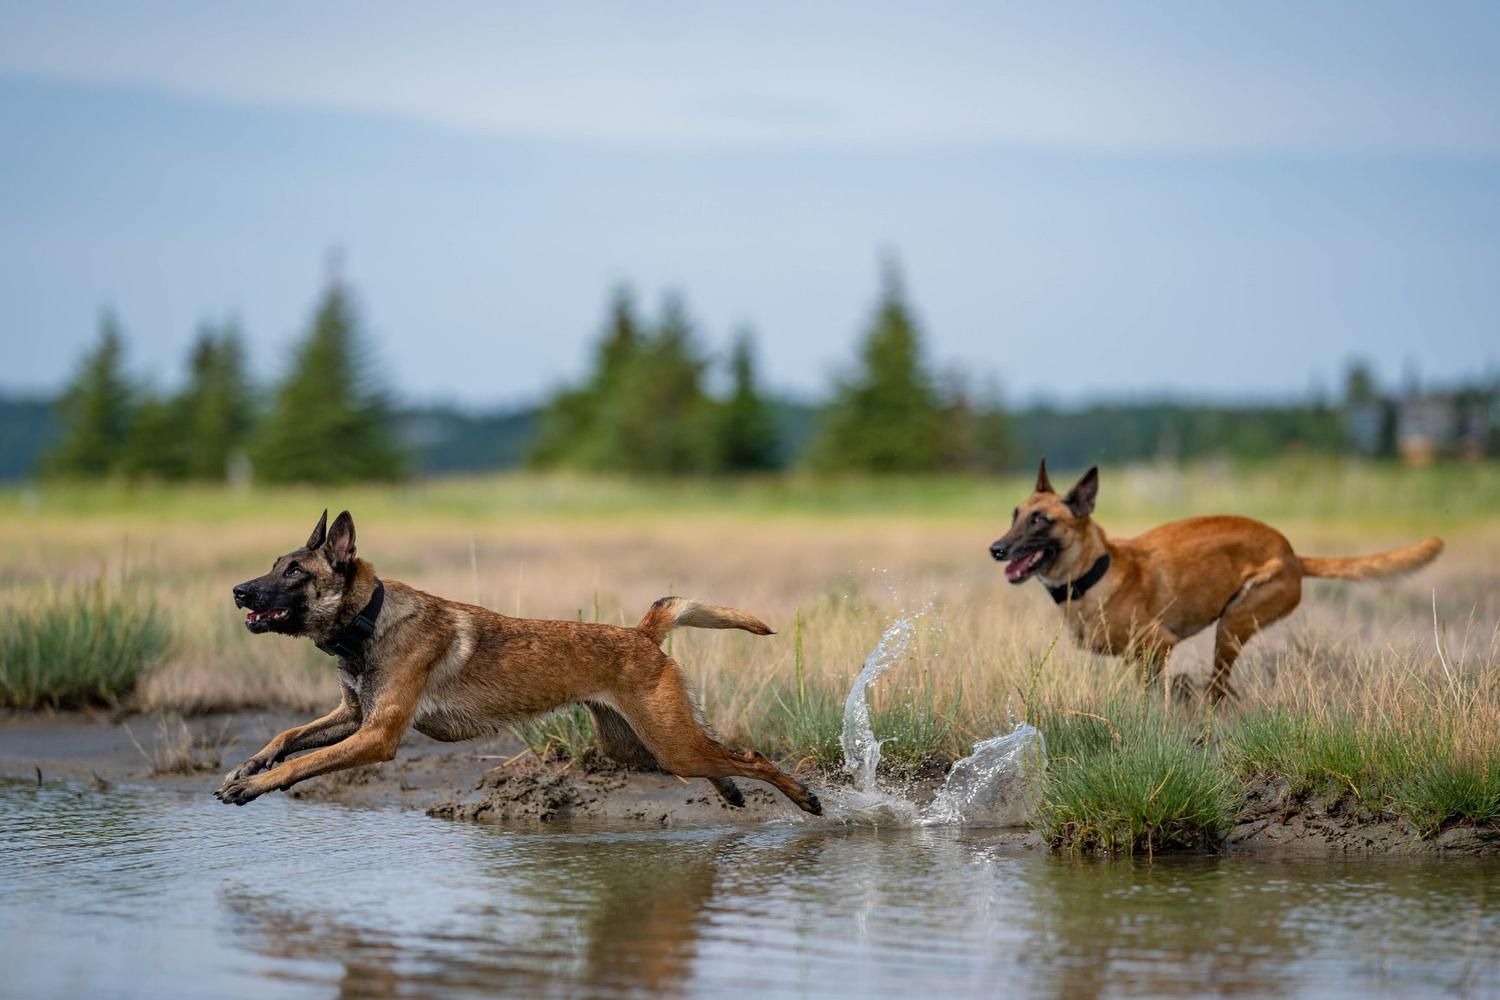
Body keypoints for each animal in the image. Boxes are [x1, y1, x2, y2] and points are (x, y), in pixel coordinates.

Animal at [216, 509, 822, 815]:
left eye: (295, 571)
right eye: (276, 564)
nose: (239, 592)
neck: (369, 619)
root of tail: (640, 634)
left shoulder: (377, 735)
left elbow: (305, 761)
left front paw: (255, 786)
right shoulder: (351, 717)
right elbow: (288, 736)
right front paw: (248, 766)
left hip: (669, 742)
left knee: (750, 755)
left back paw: (804, 798)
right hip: (640, 749)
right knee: (722, 758)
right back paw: (730, 791)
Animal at [984, 464, 1440, 704]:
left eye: (1040, 520)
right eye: (1014, 514)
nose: (996, 549)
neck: (1092, 573)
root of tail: (1293, 555)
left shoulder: (1158, 646)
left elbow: (1153, 697)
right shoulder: (1136, 659)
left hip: (1233, 624)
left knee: (1219, 688)